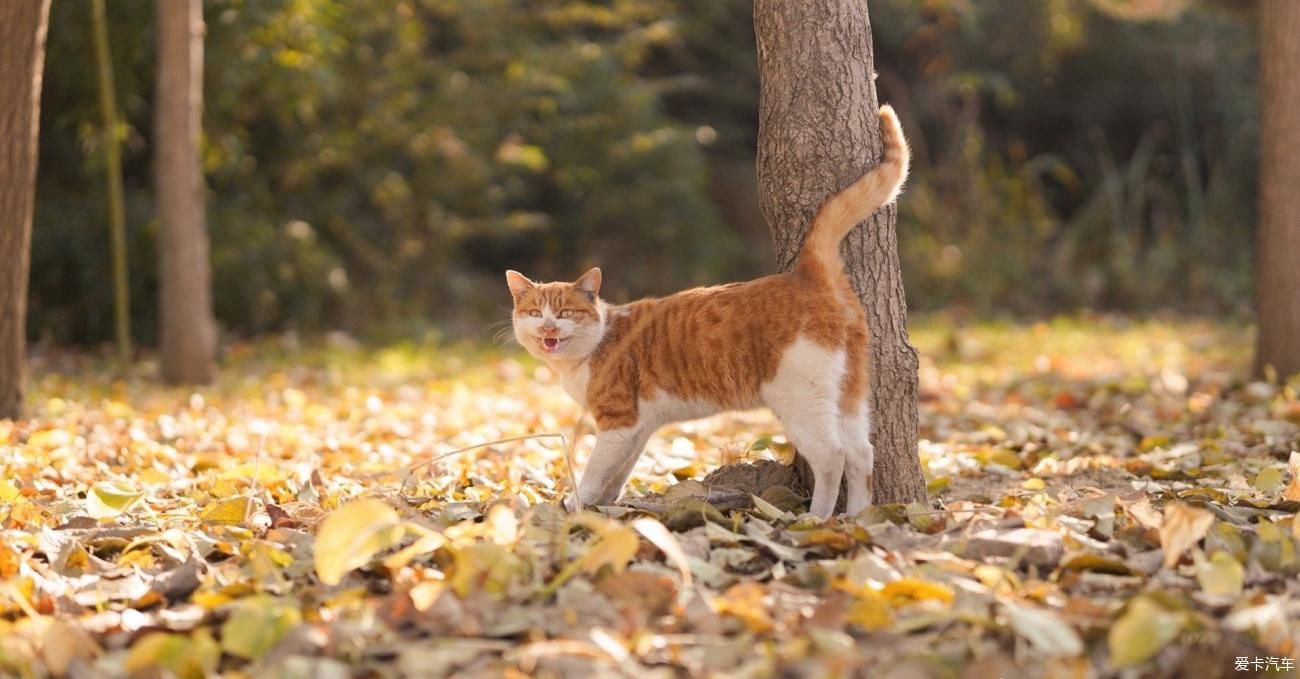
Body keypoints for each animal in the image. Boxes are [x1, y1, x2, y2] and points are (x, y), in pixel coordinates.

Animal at [501, 108, 909, 515]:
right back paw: (858, 517)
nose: (548, 328)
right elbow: (618, 472)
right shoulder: (638, 428)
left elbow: (594, 469)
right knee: (862, 455)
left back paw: (817, 519)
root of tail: (808, 273)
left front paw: (578, 503)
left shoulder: (619, 422)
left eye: (565, 313)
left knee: (832, 456)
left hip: (800, 399)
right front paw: (607, 502)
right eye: (535, 313)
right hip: (850, 395)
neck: (593, 349)